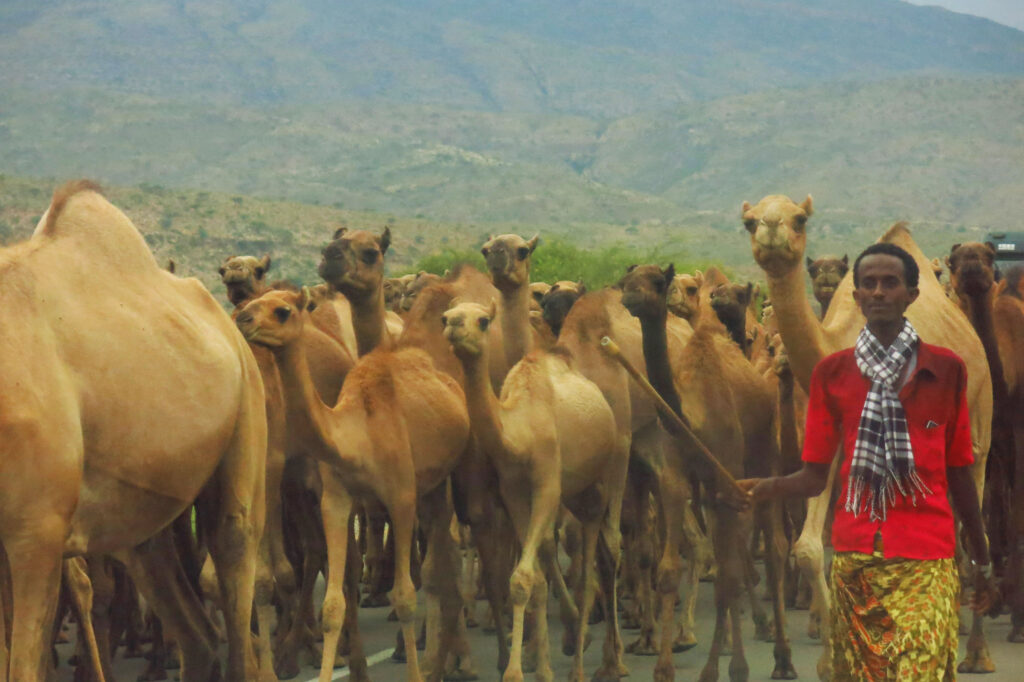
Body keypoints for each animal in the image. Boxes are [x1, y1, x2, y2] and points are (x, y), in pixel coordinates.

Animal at [0, 181, 267, 681]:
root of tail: (229, 330)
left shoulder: (36, 529)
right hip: (144, 517)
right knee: (197, 632)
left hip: (247, 410)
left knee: (234, 548)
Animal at [236, 287, 469, 682]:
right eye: (252, 303)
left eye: (282, 311)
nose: (242, 320)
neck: (357, 436)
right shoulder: (336, 499)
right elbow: (333, 605)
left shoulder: (400, 496)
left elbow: (405, 597)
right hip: (430, 487)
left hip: (444, 479)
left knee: (444, 559)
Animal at [443, 301, 624, 682]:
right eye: (444, 316)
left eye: (483, 320)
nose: (453, 325)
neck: (520, 432)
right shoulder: (513, 490)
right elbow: (533, 579)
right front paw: (539, 667)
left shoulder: (547, 485)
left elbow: (523, 576)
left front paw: (515, 671)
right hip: (577, 494)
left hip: (600, 483)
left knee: (592, 568)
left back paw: (583, 667)